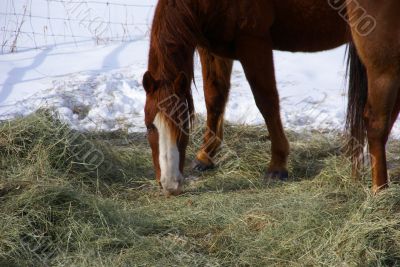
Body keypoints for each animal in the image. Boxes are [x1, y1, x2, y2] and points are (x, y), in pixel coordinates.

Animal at [142, 0, 354, 197]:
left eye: (184, 124)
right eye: (149, 126)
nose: (170, 184)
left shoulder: (253, 43)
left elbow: (266, 101)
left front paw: (277, 165)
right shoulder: (212, 48)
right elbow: (214, 99)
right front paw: (205, 156)